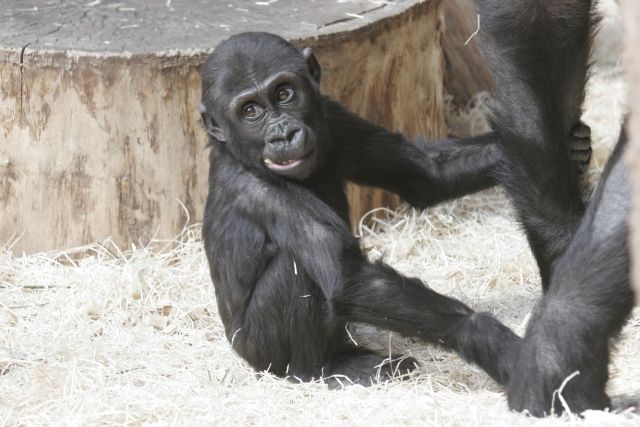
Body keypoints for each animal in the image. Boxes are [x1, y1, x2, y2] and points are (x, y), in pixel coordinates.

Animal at [200, 31, 520, 388]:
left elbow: (427, 171)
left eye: (284, 93)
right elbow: (347, 275)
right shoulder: (260, 191)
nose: (283, 134)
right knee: (294, 269)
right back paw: (321, 370)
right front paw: (486, 337)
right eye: (250, 111)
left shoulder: (332, 115)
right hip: (261, 354)